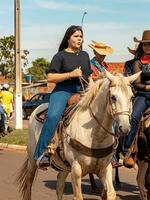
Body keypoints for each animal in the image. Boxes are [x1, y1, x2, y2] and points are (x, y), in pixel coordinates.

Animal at [17, 70, 140, 200]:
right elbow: (78, 196)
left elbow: (111, 193)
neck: (96, 136)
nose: (125, 128)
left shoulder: (105, 168)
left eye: (132, 97)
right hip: (32, 160)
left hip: (64, 167)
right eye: (113, 97)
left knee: (59, 186)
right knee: (29, 183)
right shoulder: (76, 169)